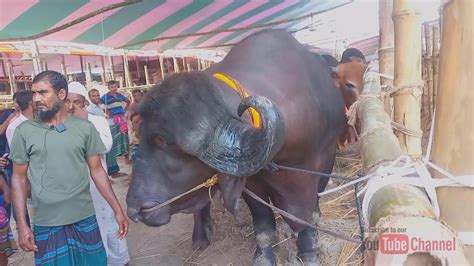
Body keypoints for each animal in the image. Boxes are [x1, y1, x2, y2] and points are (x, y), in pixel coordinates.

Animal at [126, 29, 346, 264]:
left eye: (163, 141)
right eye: (140, 134)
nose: (133, 209)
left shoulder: (323, 164)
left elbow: (311, 215)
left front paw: (308, 252)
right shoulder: (252, 183)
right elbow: (264, 223)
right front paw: (263, 257)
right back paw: (200, 236)